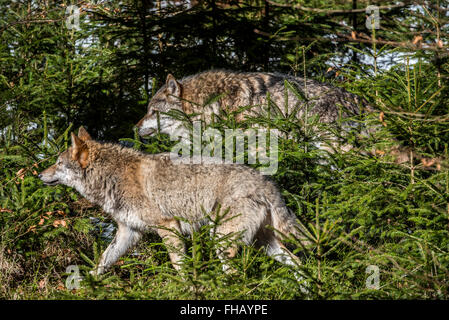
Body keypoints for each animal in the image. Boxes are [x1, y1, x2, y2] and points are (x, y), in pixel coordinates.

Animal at [39, 127, 308, 280]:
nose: (40, 175)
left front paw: (186, 287)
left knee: (235, 274)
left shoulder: (169, 227)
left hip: (223, 241)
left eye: (58, 163)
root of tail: (267, 183)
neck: (112, 176)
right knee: (297, 263)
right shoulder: (129, 232)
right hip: (265, 243)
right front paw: (87, 285)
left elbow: (179, 266)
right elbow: (102, 262)